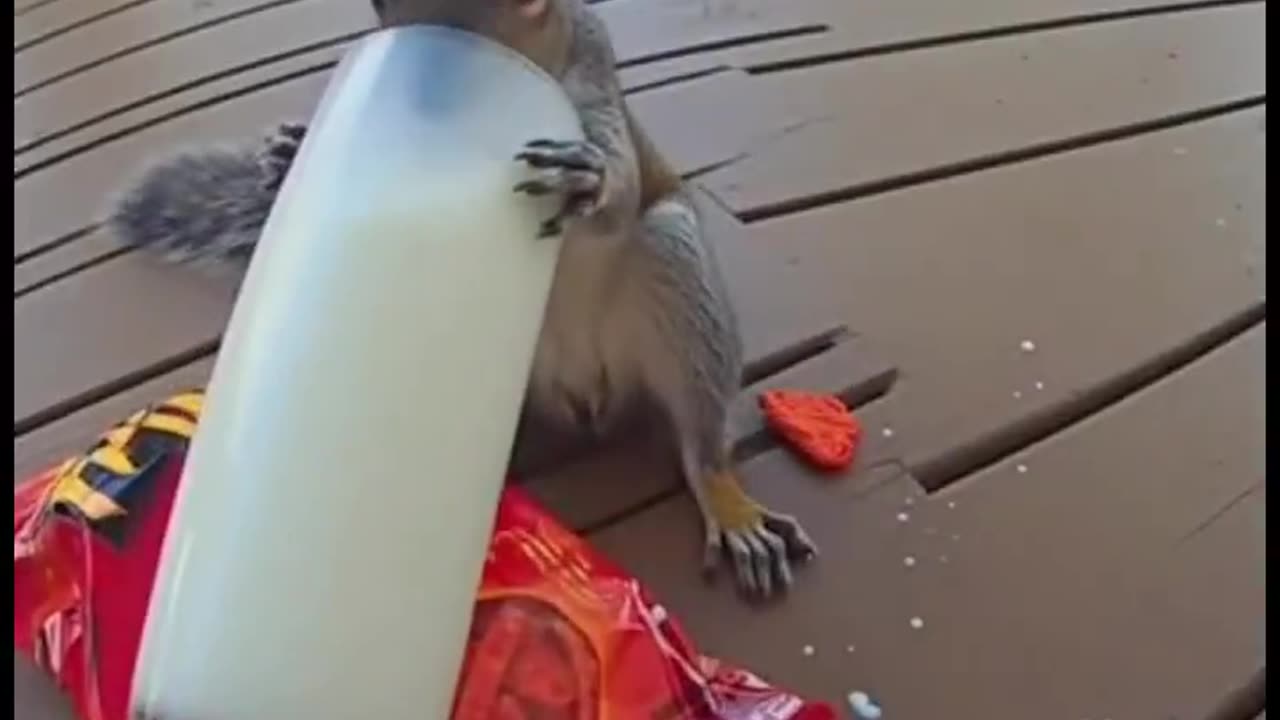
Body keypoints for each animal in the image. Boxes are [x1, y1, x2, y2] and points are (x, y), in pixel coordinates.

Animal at [109, 0, 816, 598]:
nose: (423, 115)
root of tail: (587, 395)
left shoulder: (594, 75)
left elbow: (614, 182)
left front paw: (585, 177)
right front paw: (287, 152)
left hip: (673, 268)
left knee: (699, 434)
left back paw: (729, 504)